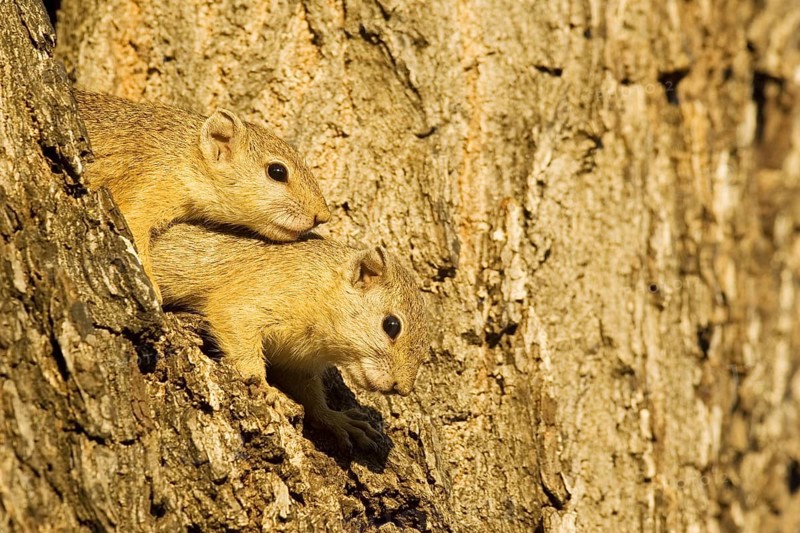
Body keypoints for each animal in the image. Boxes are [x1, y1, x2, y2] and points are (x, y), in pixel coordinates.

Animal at [74, 89, 330, 302]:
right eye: (277, 172)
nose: (322, 216)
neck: (183, 155)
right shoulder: (144, 187)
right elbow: (134, 238)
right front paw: (153, 289)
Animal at [150, 223, 430, 451]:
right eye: (391, 325)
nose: (401, 389)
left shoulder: (296, 362)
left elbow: (309, 395)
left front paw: (337, 420)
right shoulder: (253, 300)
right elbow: (238, 334)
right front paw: (264, 388)